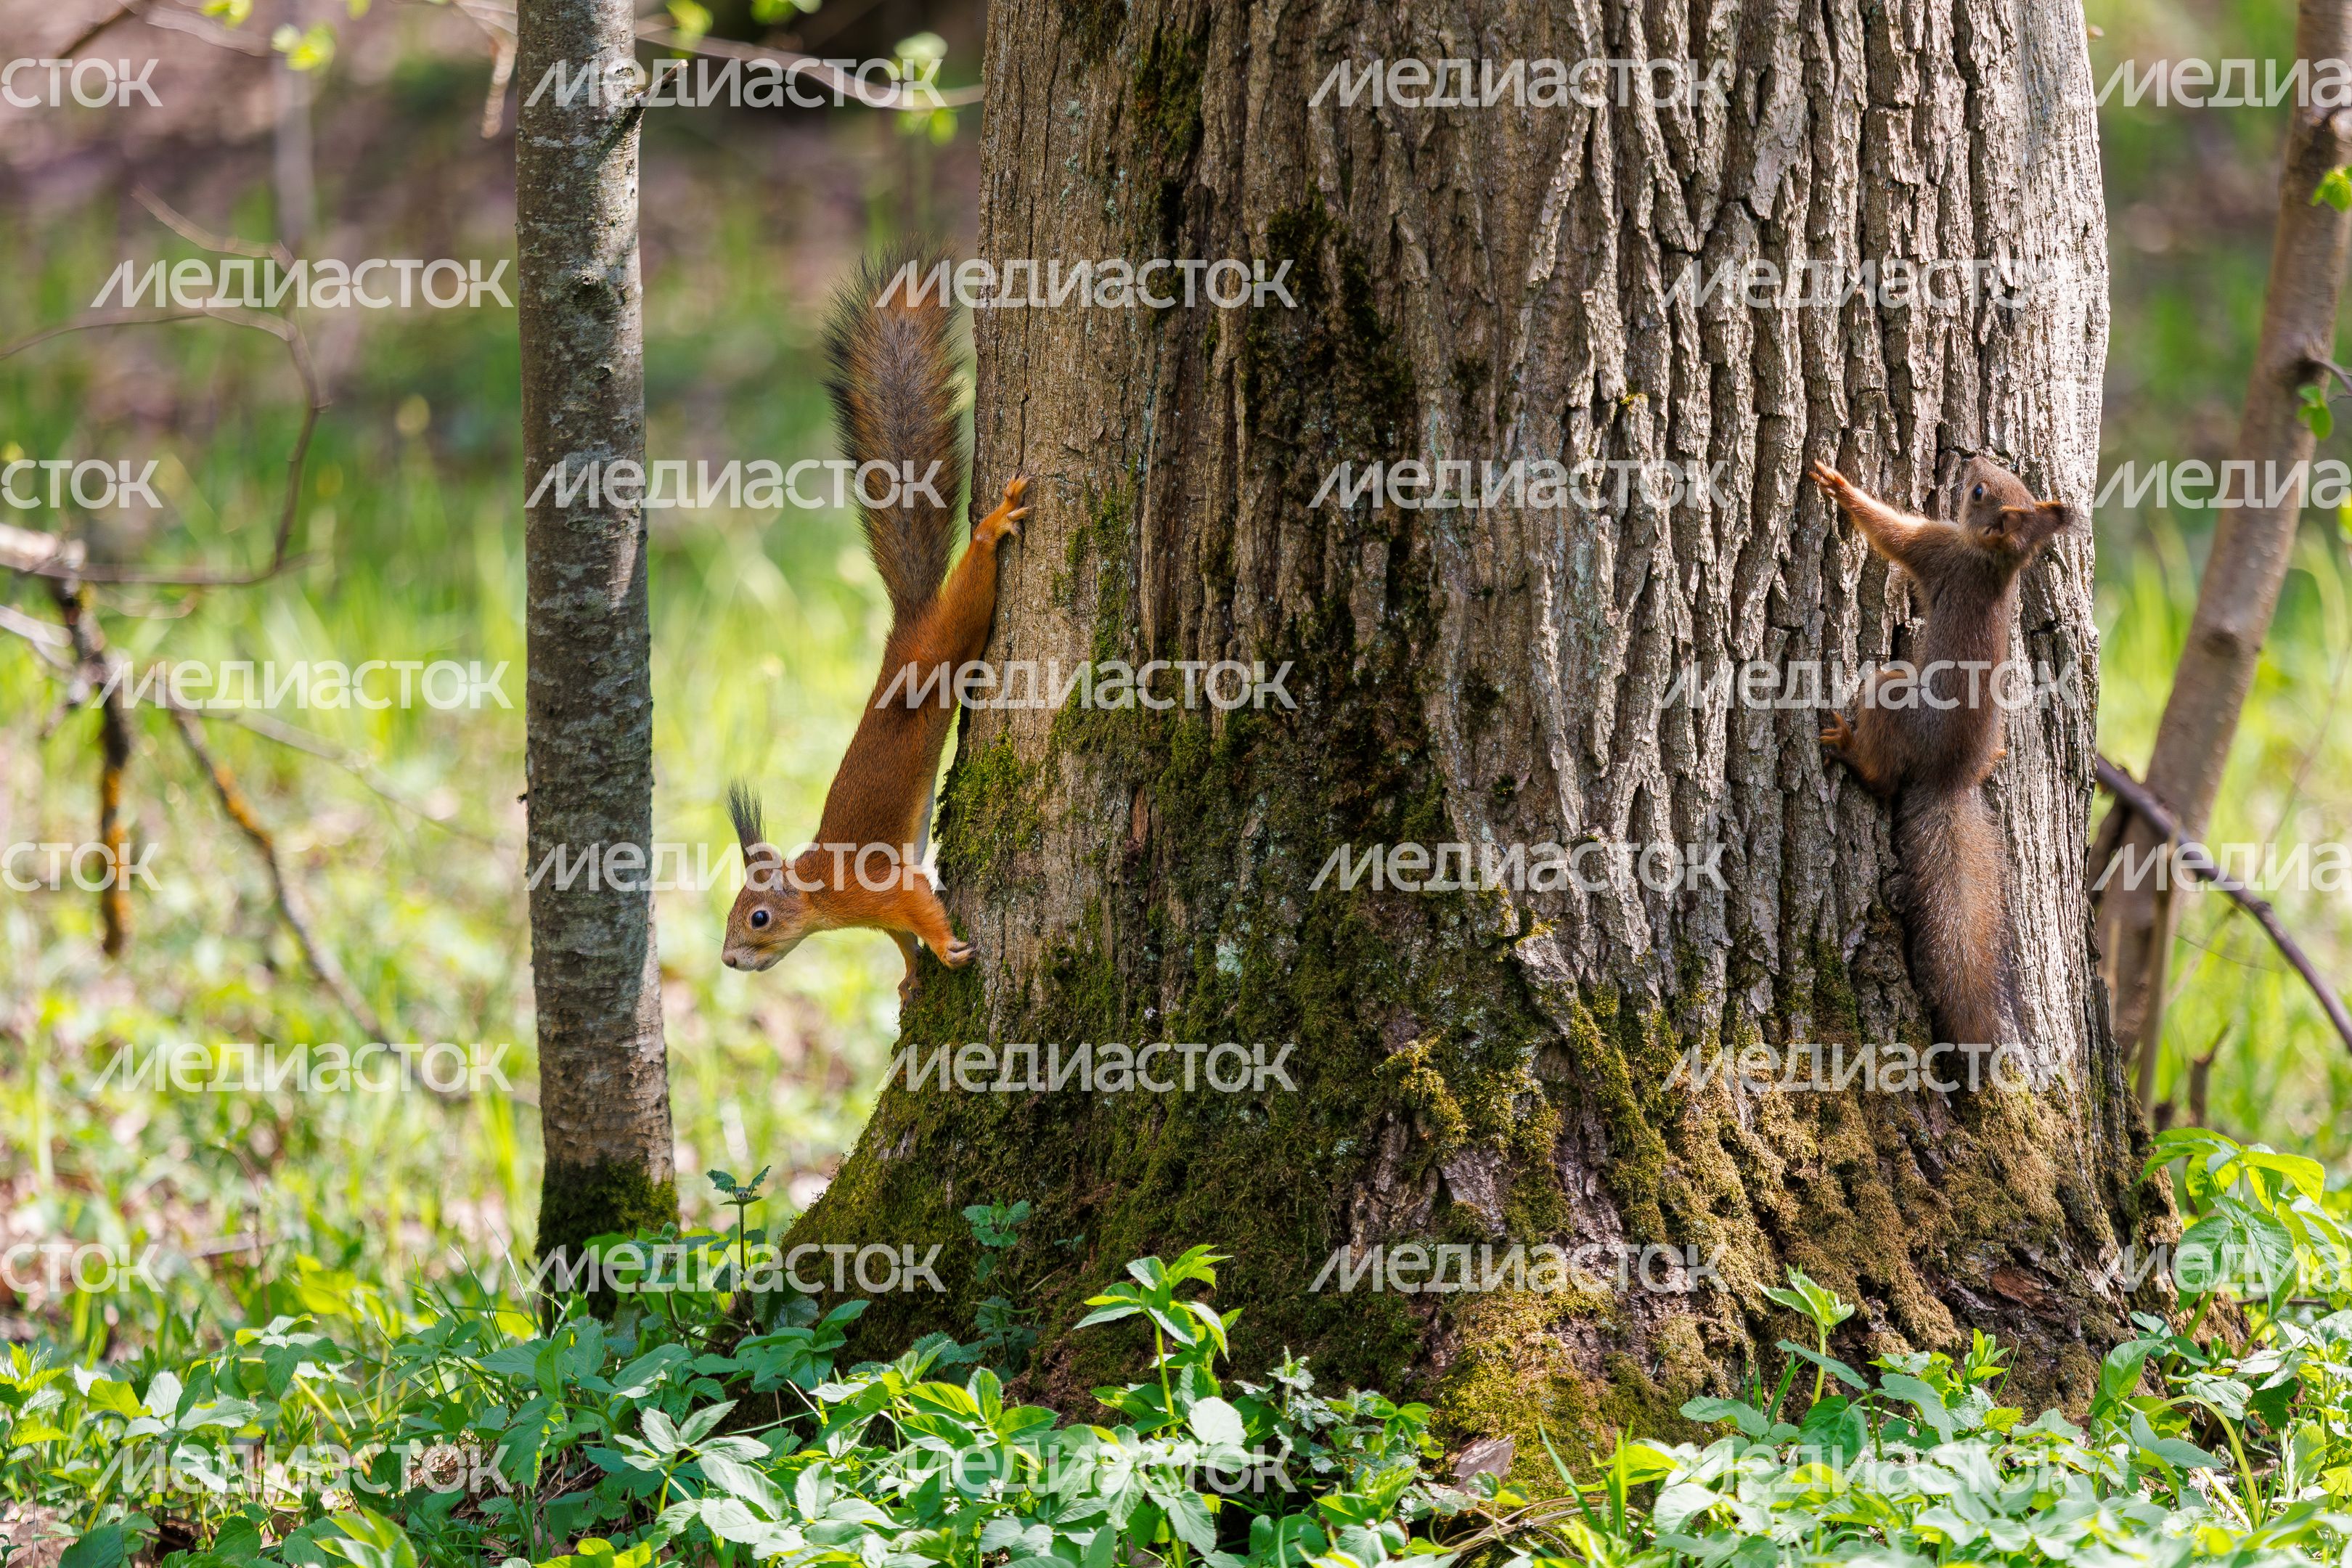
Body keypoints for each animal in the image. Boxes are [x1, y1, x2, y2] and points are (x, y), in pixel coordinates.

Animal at [721, 248, 1029, 1000]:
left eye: (759, 917)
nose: (729, 960)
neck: (822, 893)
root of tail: (905, 630)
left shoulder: (882, 886)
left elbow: (921, 907)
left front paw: (946, 949)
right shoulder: (877, 915)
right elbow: (899, 939)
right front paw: (912, 976)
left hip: (949, 640)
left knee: (971, 589)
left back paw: (991, 529)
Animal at [1807, 456, 2075, 1049]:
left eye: (1977, 493)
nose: (1972, 457)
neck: (1996, 563)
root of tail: (1949, 777)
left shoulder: (1937, 549)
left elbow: (1891, 533)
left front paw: (1840, 488)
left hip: (1891, 695)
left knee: (1884, 777)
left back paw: (1850, 750)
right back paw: (1995, 756)